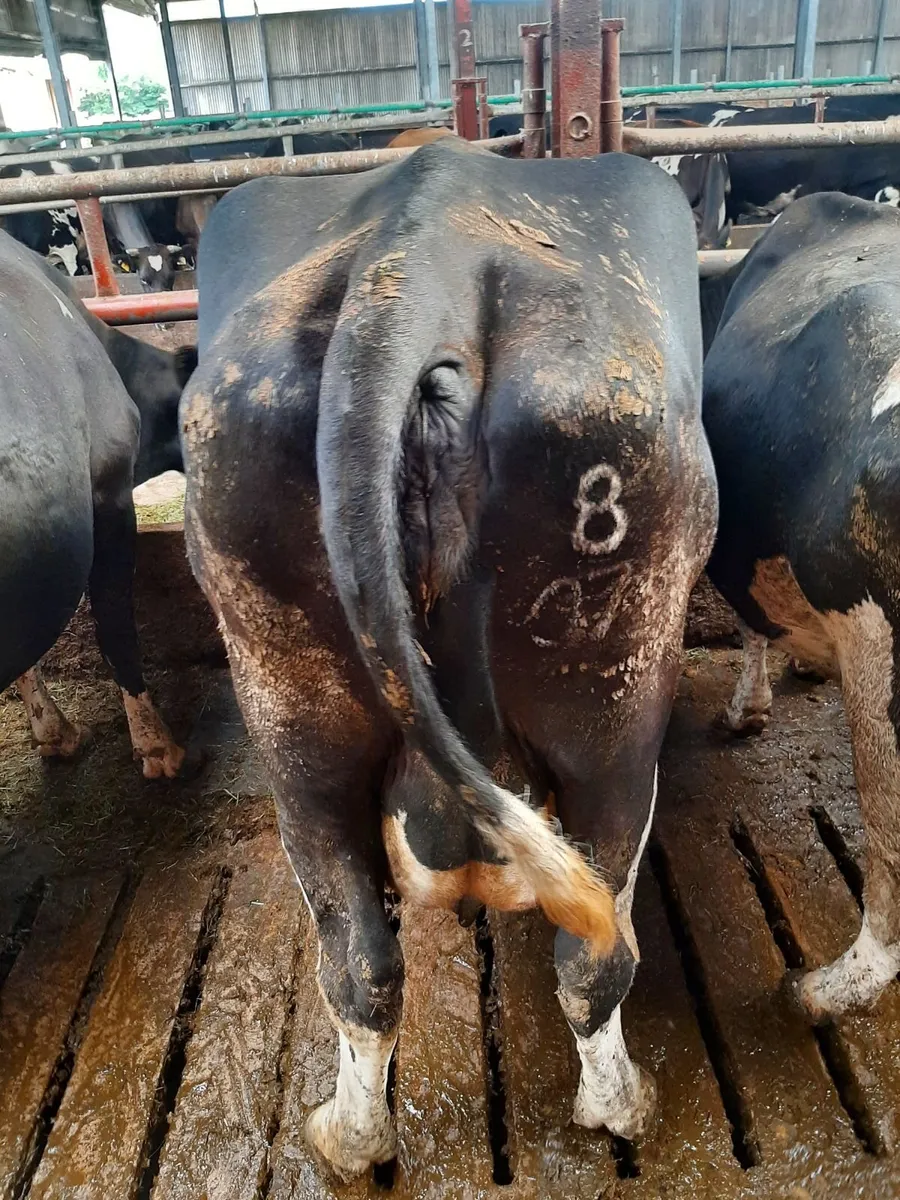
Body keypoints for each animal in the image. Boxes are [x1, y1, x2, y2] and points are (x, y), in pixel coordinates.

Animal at [181, 137, 717, 1177]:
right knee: (597, 951)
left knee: (359, 959)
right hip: (616, 708)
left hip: (289, 709)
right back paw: (622, 1109)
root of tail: (417, 253)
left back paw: (348, 1140)